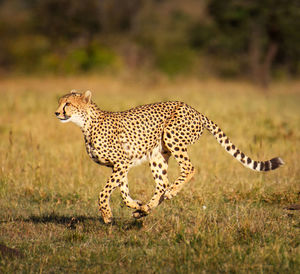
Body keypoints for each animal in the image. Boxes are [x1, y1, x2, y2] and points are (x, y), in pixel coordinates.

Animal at [54, 91, 284, 224]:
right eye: (60, 102)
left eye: (68, 104)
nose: (57, 113)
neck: (86, 123)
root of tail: (194, 109)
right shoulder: (120, 166)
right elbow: (123, 191)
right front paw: (136, 205)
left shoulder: (121, 162)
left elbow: (104, 192)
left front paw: (107, 215)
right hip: (157, 154)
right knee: (162, 183)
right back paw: (145, 209)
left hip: (173, 137)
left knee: (188, 169)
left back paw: (170, 192)